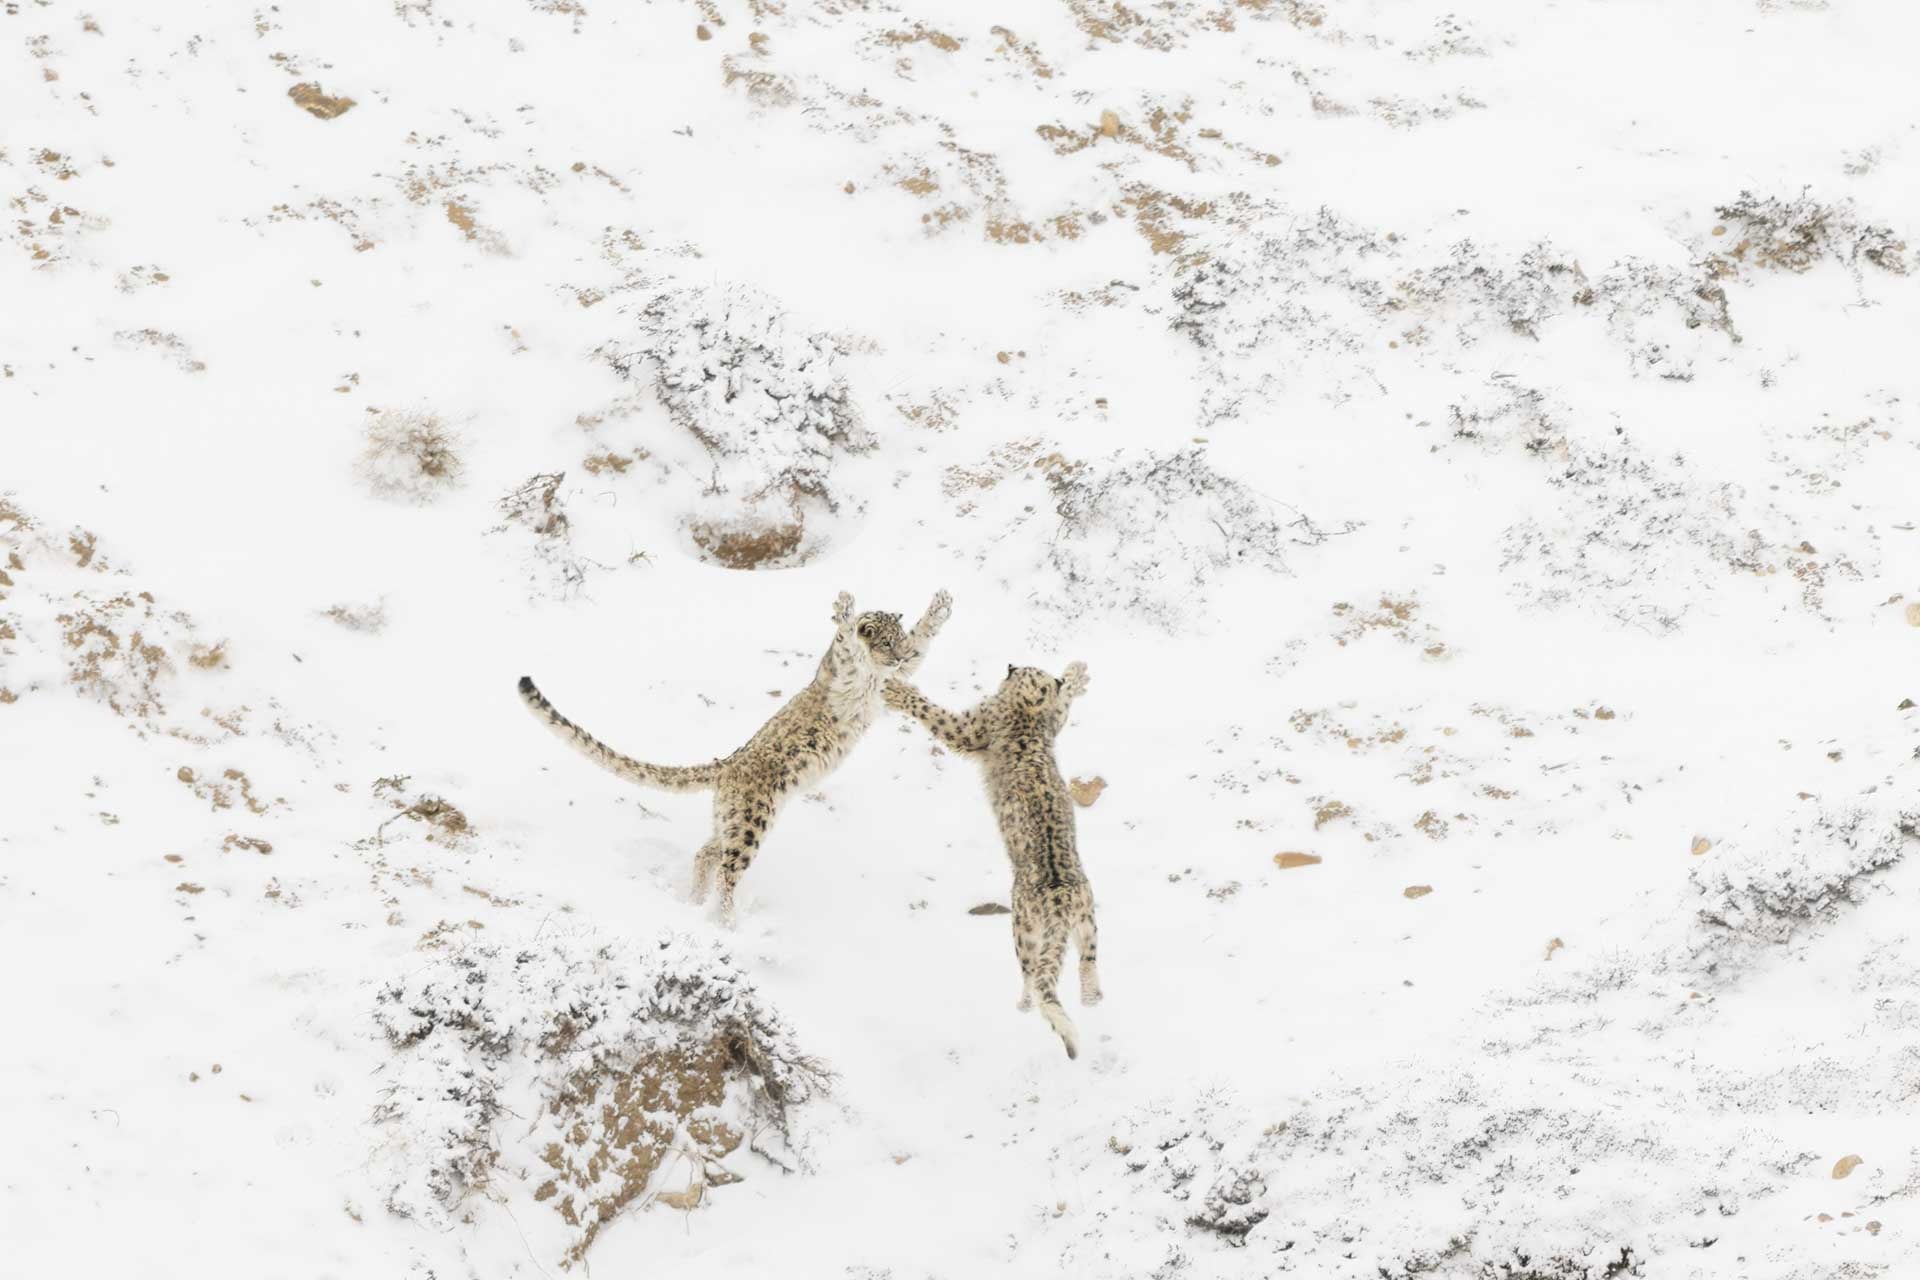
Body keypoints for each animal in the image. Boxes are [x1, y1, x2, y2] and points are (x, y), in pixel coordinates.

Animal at [518, 591, 952, 921]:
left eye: (899, 639)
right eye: (886, 641)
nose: (898, 655)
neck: (877, 680)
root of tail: (727, 765)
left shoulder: (897, 677)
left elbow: (922, 642)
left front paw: (940, 606)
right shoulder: (848, 673)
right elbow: (847, 644)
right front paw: (845, 610)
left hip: (730, 820)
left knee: (706, 853)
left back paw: (695, 902)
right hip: (750, 823)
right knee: (727, 871)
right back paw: (726, 920)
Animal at [879, 660, 1098, 1059]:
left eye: (1023, 668)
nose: (1010, 664)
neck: (1026, 715)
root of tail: (1061, 901)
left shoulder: (970, 728)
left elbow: (935, 715)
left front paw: (899, 691)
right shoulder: (1053, 722)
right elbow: (1063, 709)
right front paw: (1076, 675)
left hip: (1023, 927)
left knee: (1032, 973)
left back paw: (1024, 1004)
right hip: (1088, 920)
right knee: (1087, 960)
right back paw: (1092, 996)